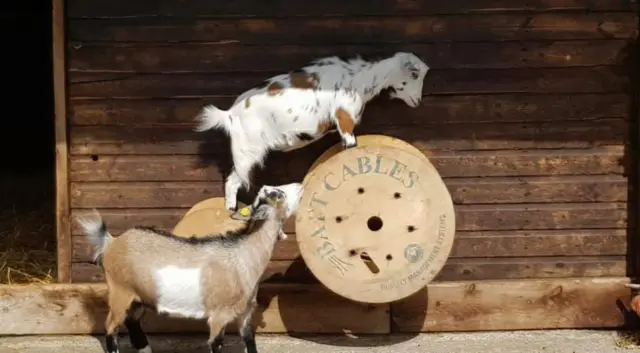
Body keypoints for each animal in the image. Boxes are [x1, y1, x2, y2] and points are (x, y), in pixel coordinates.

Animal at [74, 182, 304, 352]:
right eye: (278, 194)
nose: (299, 185)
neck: (242, 256)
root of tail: (111, 242)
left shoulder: (245, 314)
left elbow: (250, 342)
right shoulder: (219, 316)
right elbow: (216, 343)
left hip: (139, 296)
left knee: (132, 321)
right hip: (120, 291)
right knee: (111, 328)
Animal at [194, 85, 364, 212]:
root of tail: (229, 115)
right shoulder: (344, 119)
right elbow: (350, 143)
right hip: (248, 152)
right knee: (234, 181)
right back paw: (230, 210)